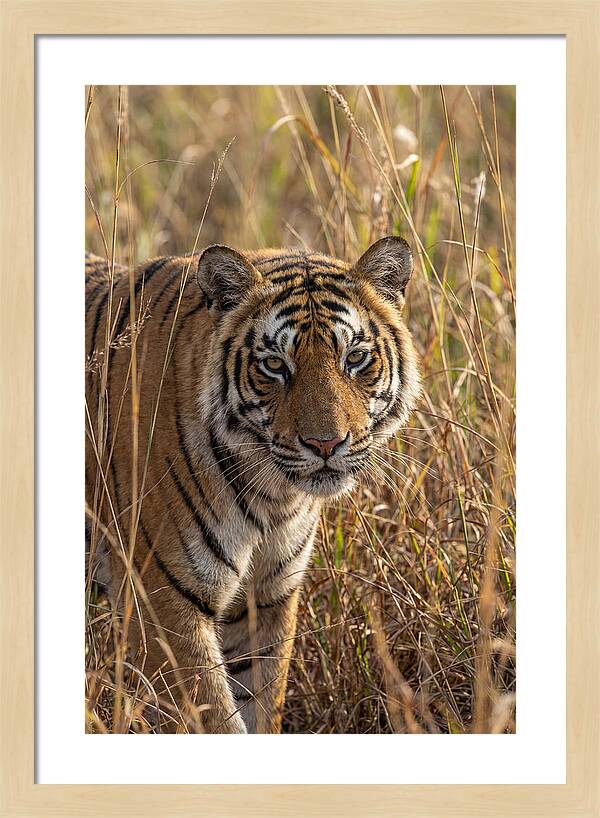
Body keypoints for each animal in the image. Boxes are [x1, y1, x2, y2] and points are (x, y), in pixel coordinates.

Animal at [85, 236, 421, 734]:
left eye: (356, 358)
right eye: (275, 365)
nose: (326, 443)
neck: (273, 498)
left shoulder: (266, 598)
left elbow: (261, 702)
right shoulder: (163, 603)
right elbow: (213, 719)